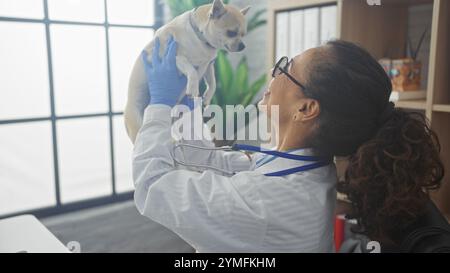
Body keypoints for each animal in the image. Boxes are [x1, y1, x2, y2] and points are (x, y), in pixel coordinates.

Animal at [123, 0, 250, 143]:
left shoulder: (208, 66)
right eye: (231, 33)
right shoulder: (176, 58)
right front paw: (193, 88)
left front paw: (207, 97)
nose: (242, 46)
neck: (200, 39)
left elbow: (212, 83)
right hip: (137, 124)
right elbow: (192, 71)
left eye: (243, 34)